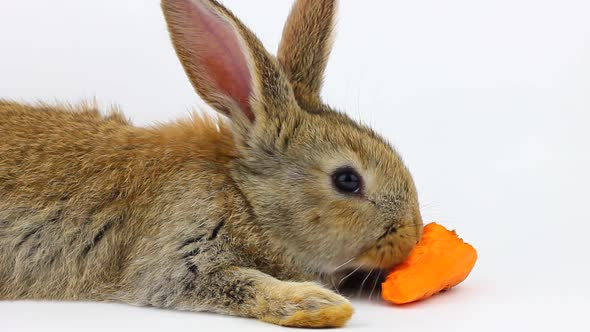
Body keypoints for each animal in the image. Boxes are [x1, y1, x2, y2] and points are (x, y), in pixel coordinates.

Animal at [0, 0, 426, 328]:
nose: (412, 237)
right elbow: (238, 283)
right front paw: (319, 304)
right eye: (347, 180)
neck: (245, 198)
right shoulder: (179, 255)